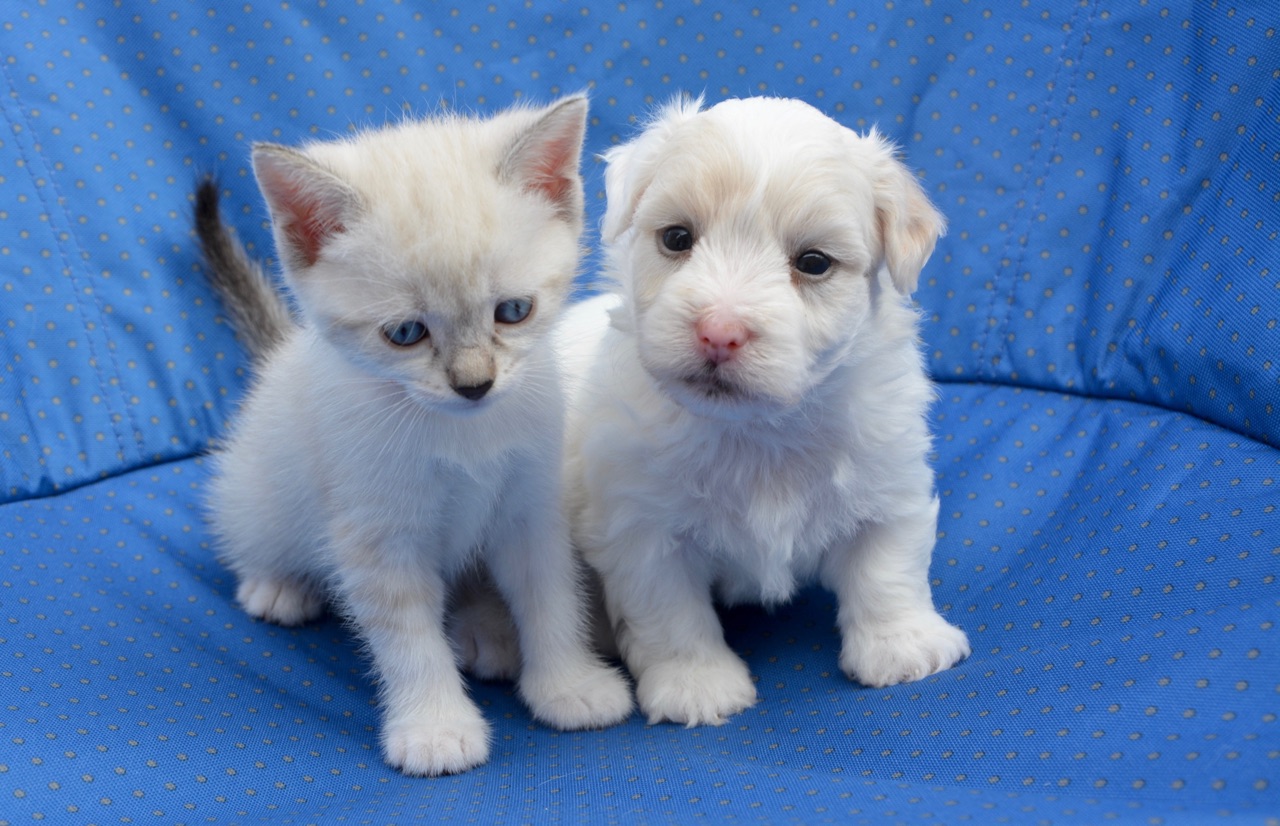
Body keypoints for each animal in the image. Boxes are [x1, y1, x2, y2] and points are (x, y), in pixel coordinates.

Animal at [197, 96, 632, 773]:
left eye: (514, 311)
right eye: (405, 333)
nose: (474, 384)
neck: (462, 436)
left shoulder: (532, 505)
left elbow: (551, 595)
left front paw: (570, 686)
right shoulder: (376, 534)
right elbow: (409, 639)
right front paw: (436, 728)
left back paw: (486, 630)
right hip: (260, 489)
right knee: (251, 527)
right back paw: (278, 585)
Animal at [560, 96, 967, 727]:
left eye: (814, 262)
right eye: (677, 237)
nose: (718, 332)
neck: (758, 430)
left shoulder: (888, 478)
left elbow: (888, 568)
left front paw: (903, 646)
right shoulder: (641, 527)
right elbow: (670, 613)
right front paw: (697, 685)